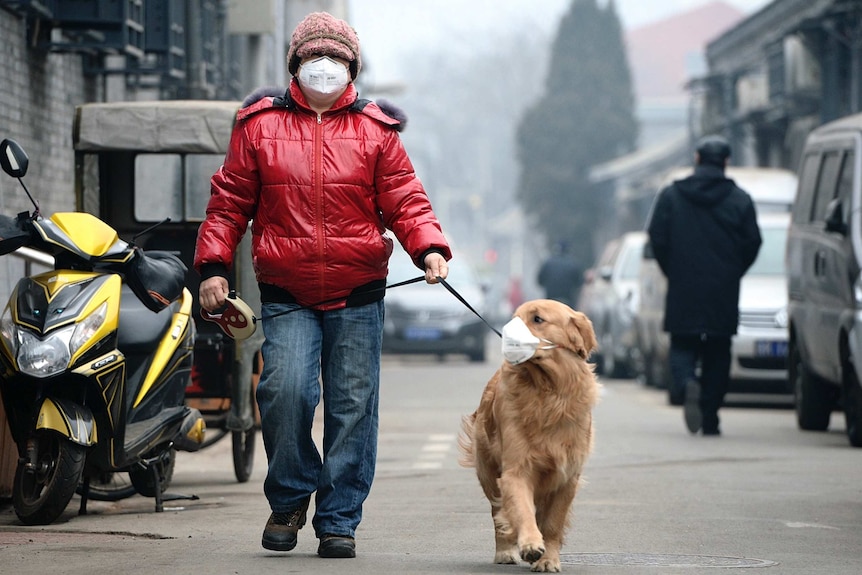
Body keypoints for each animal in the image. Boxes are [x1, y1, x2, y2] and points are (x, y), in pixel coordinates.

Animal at [462, 300, 596, 572]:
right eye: (515, 317)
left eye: (537, 319)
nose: (507, 333)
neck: (548, 392)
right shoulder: (516, 469)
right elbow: (521, 509)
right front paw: (531, 544)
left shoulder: (567, 477)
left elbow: (553, 523)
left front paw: (549, 559)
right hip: (488, 472)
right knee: (498, 514)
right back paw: (505, 551)